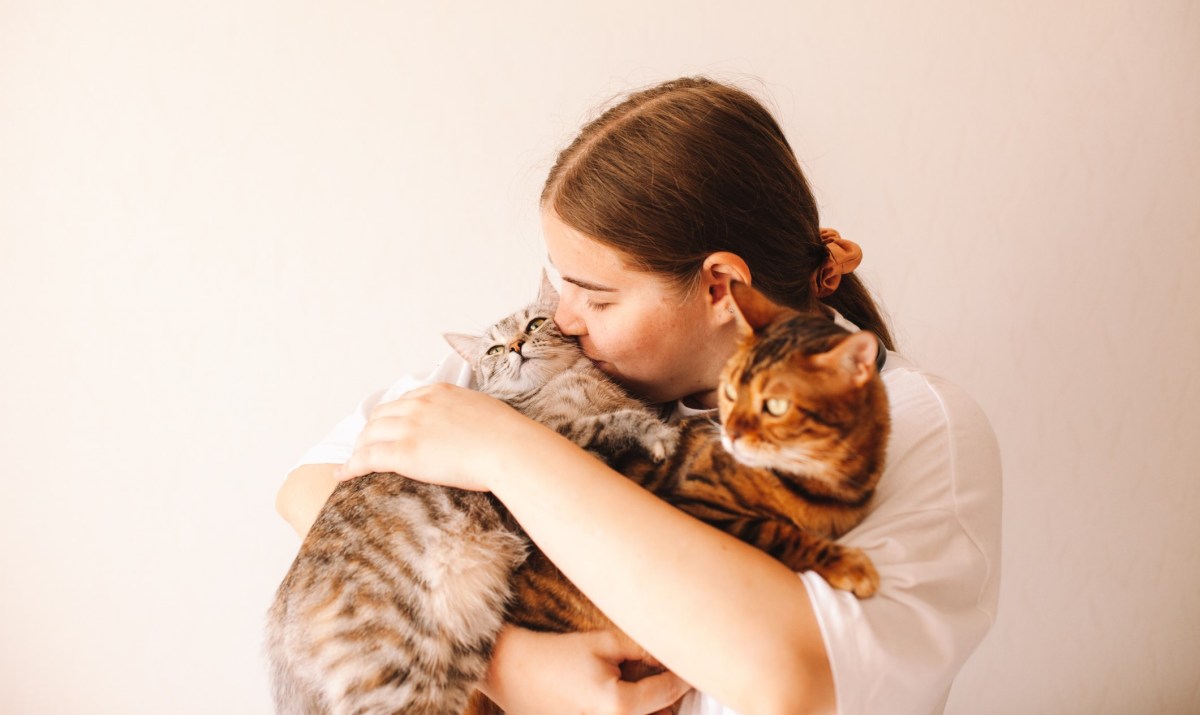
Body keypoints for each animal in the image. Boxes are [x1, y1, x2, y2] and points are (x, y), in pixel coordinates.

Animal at [265, 273, 676, 715]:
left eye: (534, 324)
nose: (515, 346)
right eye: (494, 349)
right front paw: (658, 433)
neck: (567, 385)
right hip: (396, 675)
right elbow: (617, 421)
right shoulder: (559, 440)